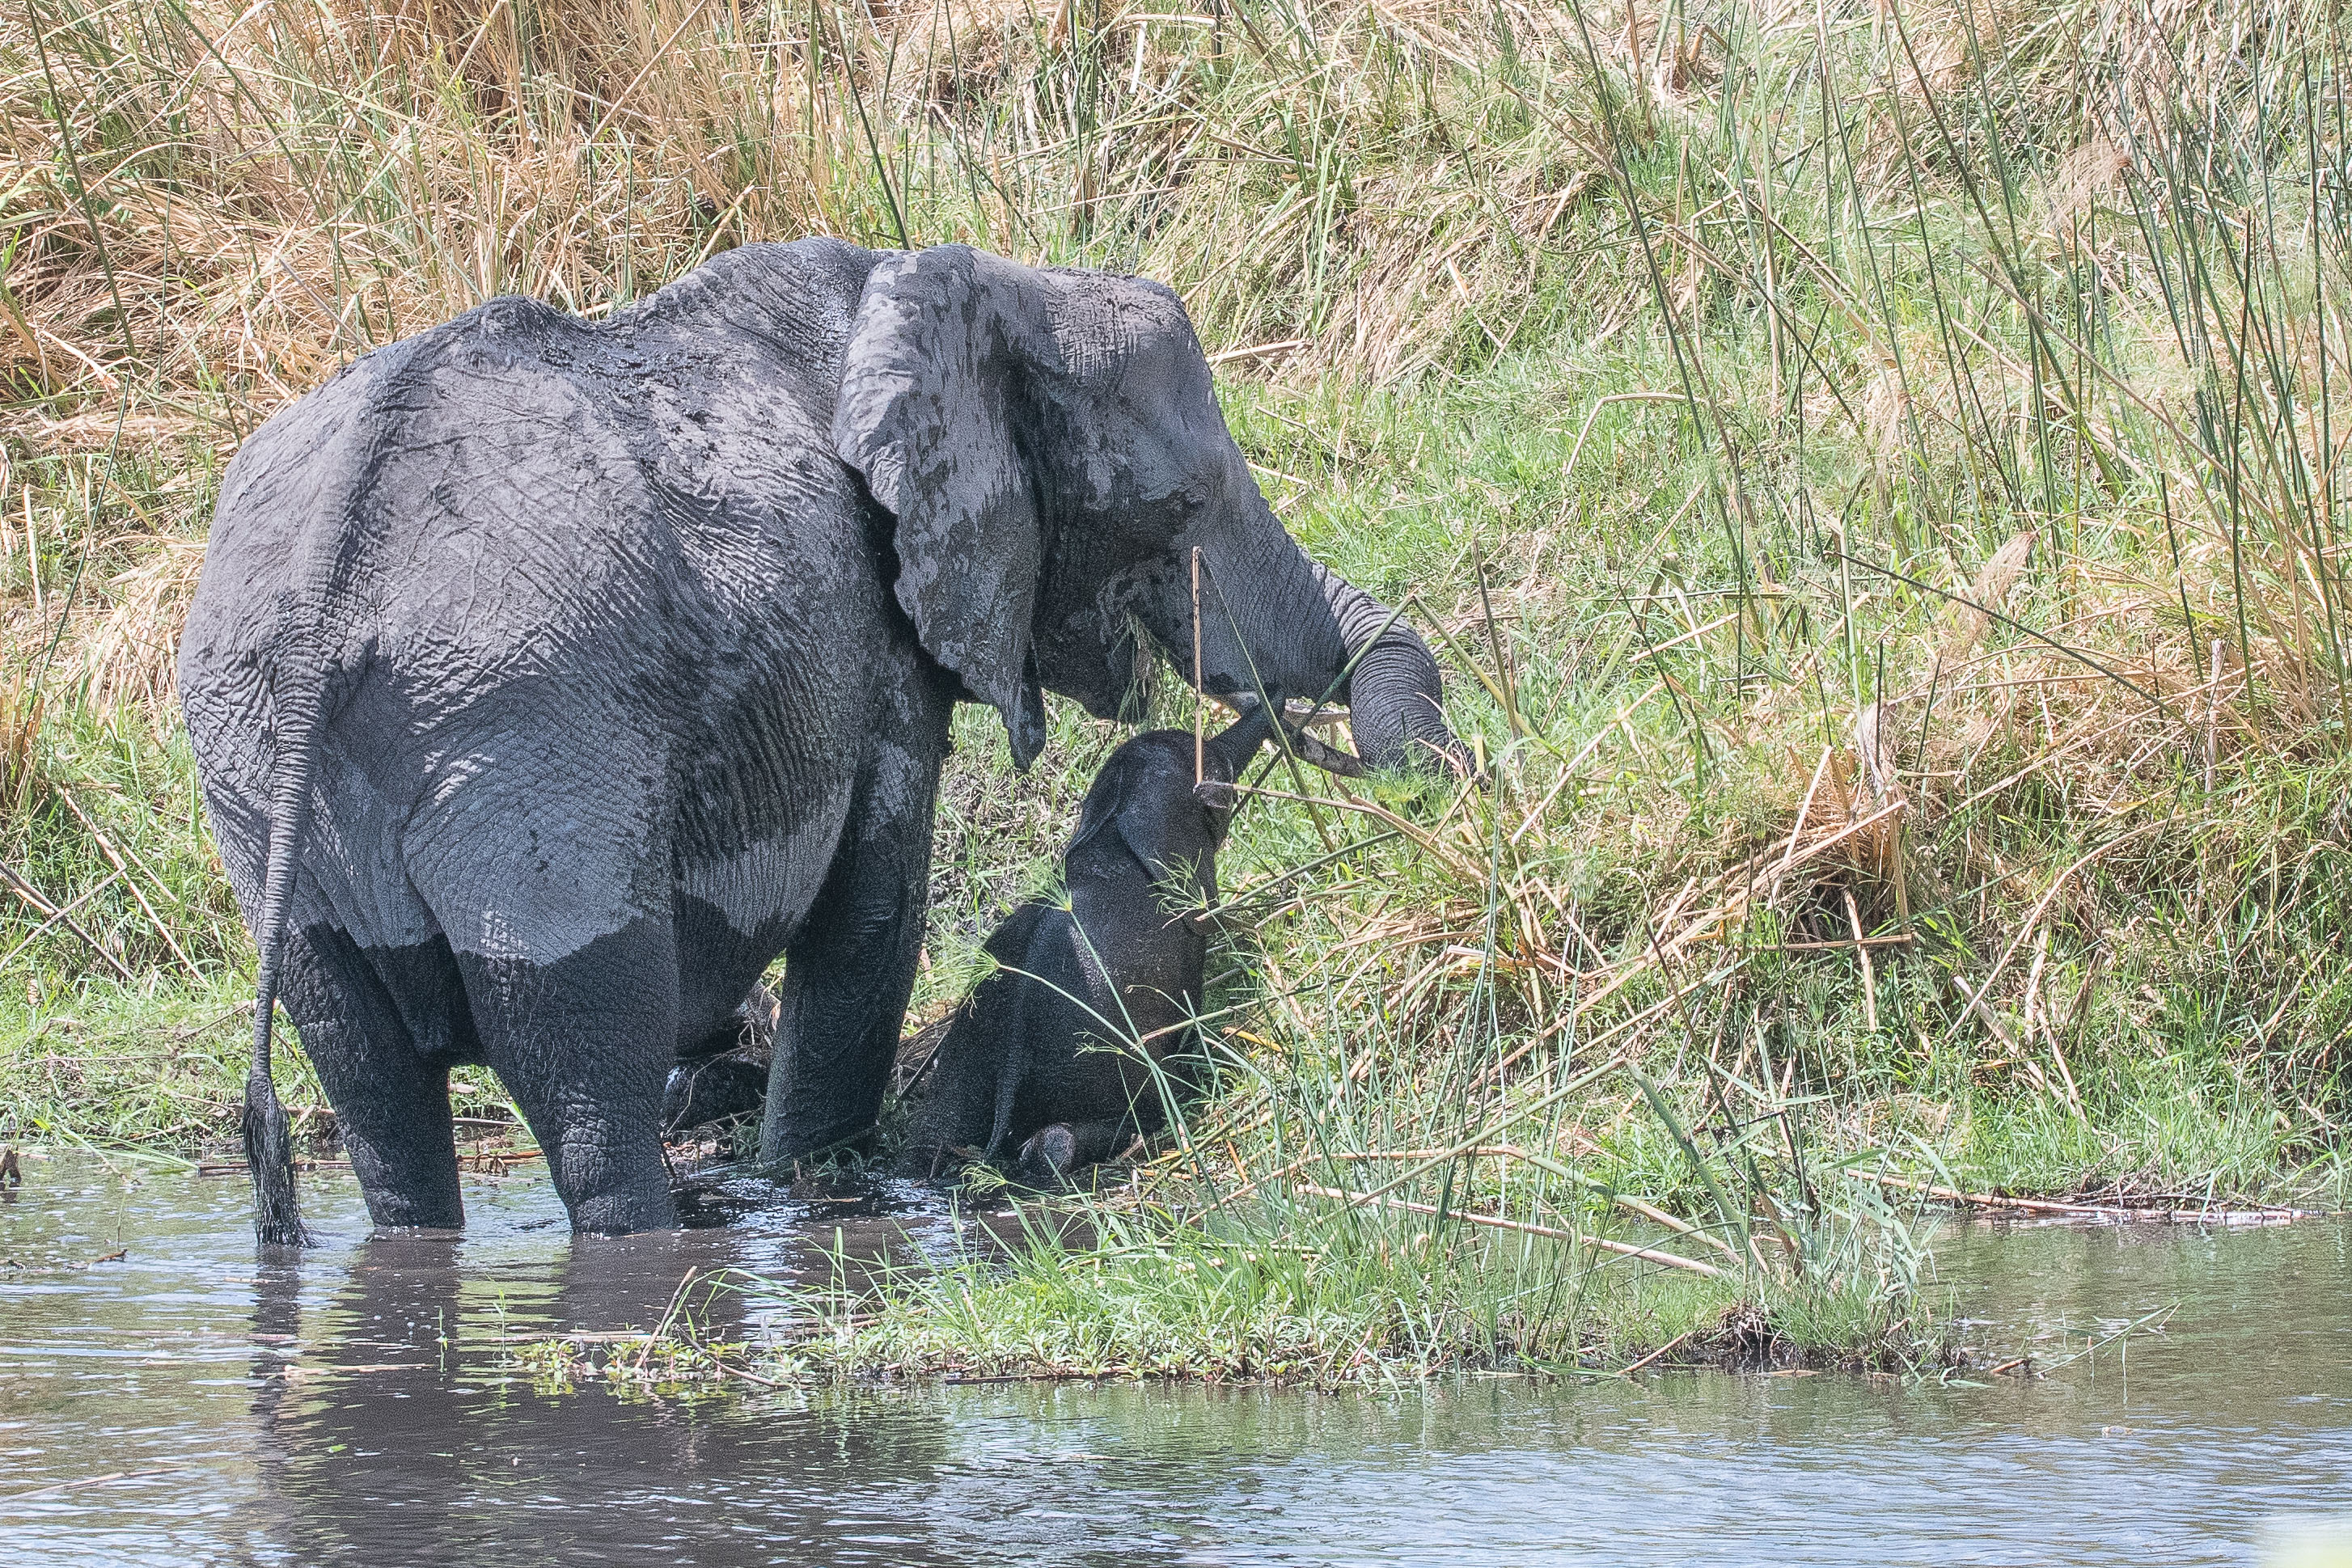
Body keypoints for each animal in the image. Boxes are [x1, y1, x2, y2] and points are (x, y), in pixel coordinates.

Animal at [898, 700, 1279, 1175]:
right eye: (1220, 771)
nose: (1274, 703)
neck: (1113, 819)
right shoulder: (1186, 934)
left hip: (968, 1044)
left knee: (934, 1130)